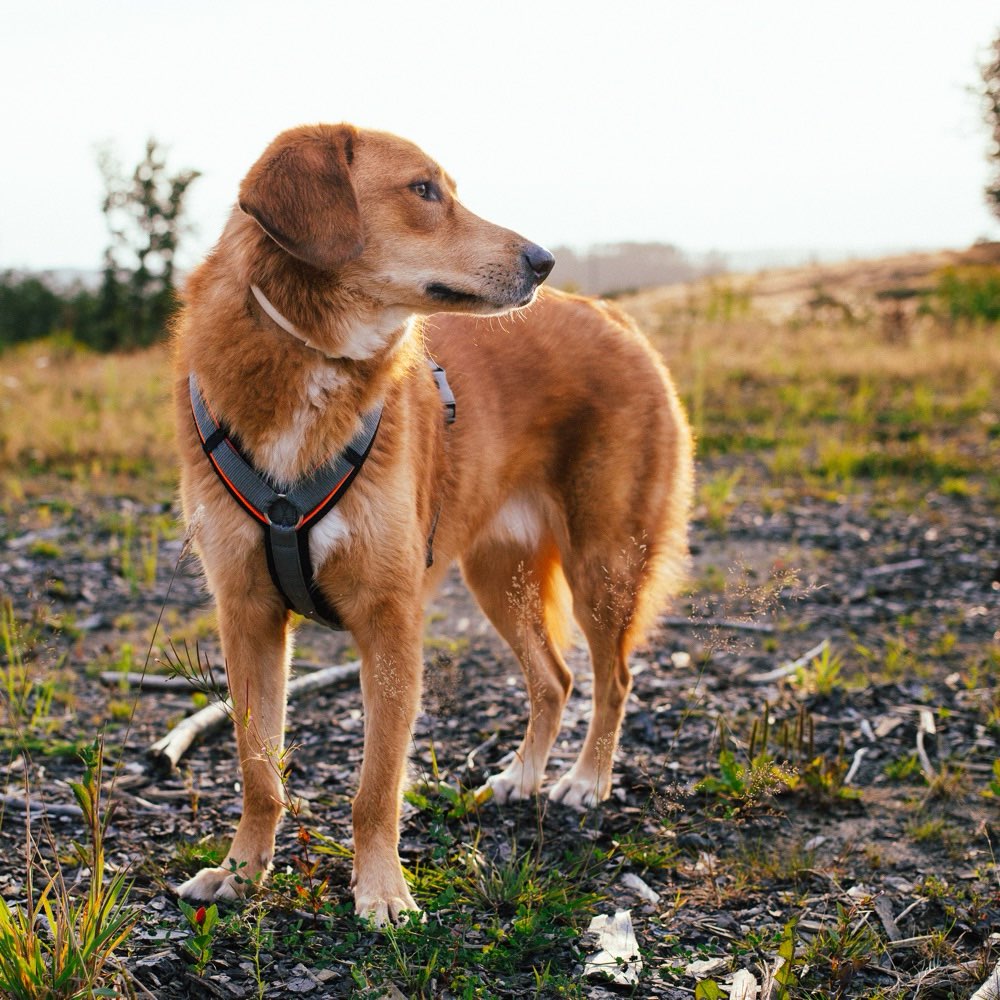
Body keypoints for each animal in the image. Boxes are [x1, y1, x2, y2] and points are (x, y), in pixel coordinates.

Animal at [172, 123, 692, 920]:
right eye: (424, 191)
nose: (543, 260)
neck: (311, 356)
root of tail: (613, 314)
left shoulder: (391, 619)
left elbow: (376, 787)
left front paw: (382, 892)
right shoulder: (247, 614)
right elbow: (258, 769)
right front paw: (241, 870)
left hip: (604, 562)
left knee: (616, 678)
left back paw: (585, 780)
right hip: (496, 576)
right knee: (554, 680)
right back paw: (522, 777)